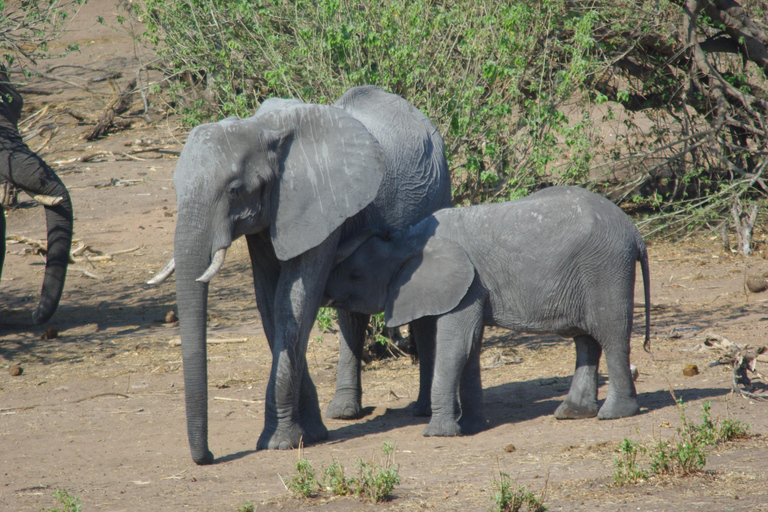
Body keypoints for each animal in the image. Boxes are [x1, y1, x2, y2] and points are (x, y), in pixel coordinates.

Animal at [163, 86, 450, 462]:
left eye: (234, 190)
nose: (209, 457)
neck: (261, 129)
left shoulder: (320, 202)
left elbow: (294, 299)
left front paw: (280, 442)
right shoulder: (270, 215)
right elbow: (269, 302)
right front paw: (311, 434)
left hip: (437, 191)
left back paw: (421, 410)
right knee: (351, 315)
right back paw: (344, 411)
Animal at [324, 186, 648, 438]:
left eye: (355, 275)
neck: (408, 238)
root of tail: (635, 232)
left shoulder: (468, 285)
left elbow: (456, 346)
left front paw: (438, 433)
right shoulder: (471, 289)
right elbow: (471, 345)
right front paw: (471, 427)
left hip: (606, 267)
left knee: (611, 334)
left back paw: (615, 413)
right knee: (585, 339)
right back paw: (573, 412)